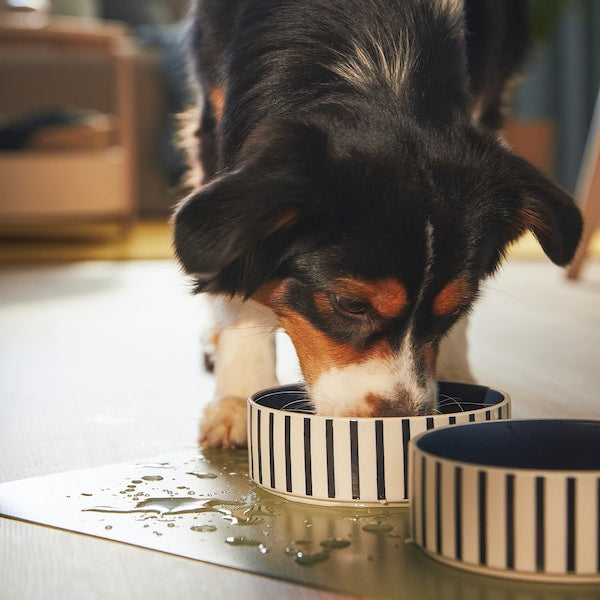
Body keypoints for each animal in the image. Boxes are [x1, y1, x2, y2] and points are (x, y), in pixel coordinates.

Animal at [172, 0, 580, 448]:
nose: (400, 420)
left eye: (458, 307)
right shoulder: (215, 125)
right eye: (350, 304)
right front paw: (237, 396)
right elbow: (234, 277)